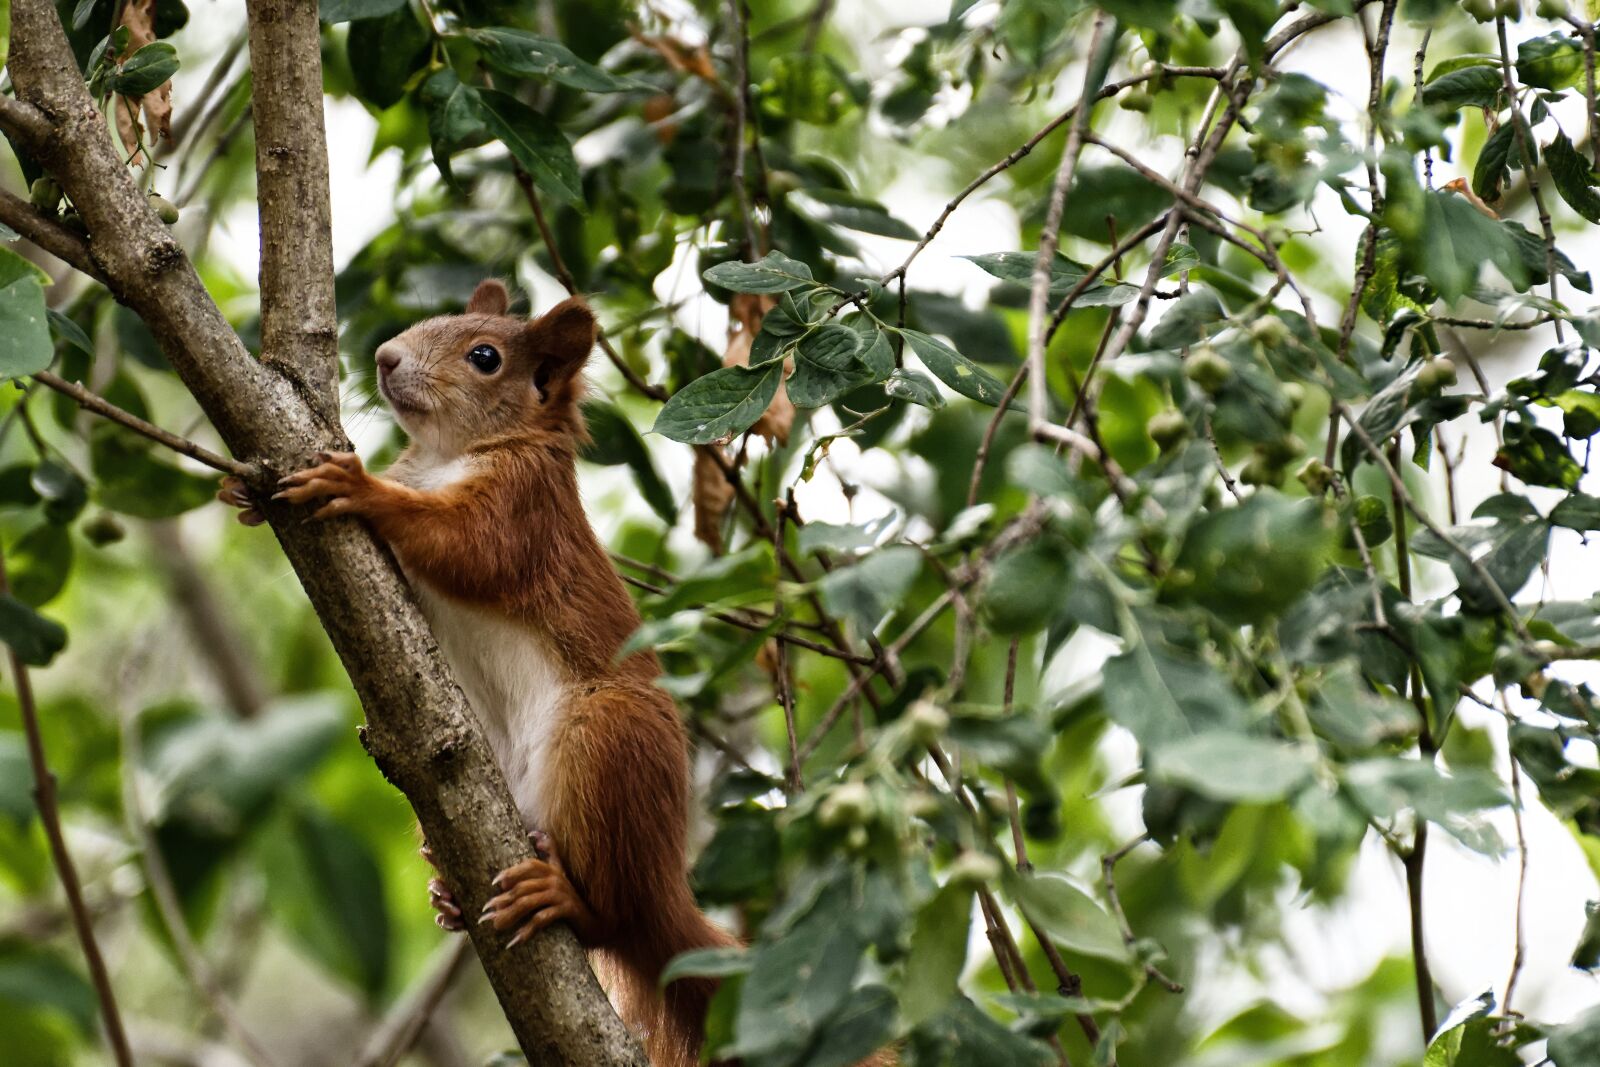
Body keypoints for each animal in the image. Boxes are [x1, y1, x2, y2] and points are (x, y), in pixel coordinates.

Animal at [220, 280, 734, 1067]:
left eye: (485, 357)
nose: (385, 356)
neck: (448, 455)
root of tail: (666, 889)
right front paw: (251, 495)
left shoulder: (524, 508)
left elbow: (466, 547)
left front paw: (360, 485)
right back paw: (449, 887)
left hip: (606, 739)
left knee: (615, 918)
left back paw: (563, 899)